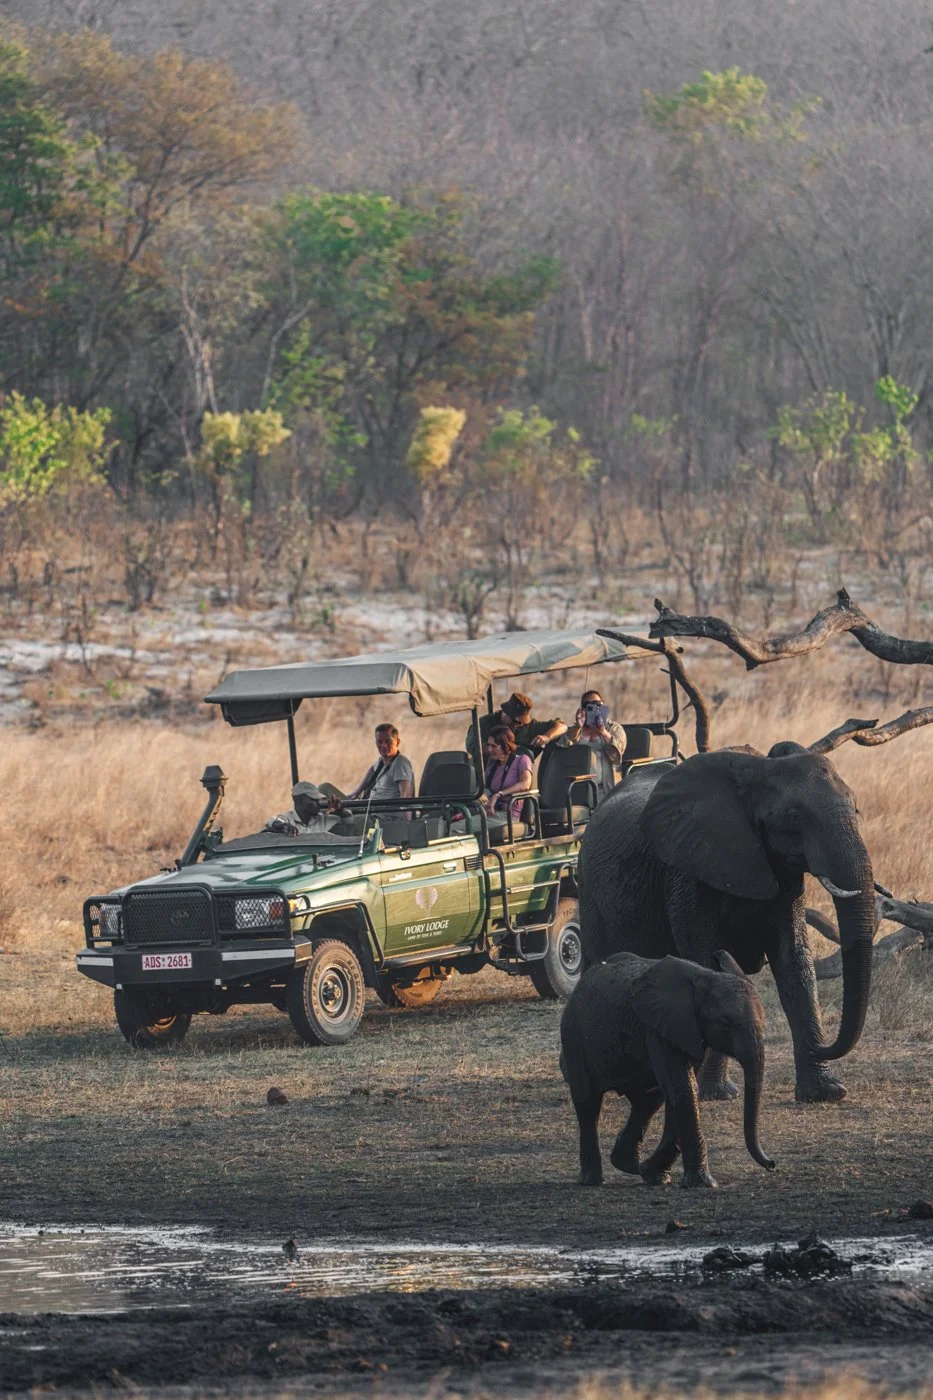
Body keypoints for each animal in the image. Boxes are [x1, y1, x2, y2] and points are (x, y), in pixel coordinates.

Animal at [560, 948, 775, 1188]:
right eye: (726, 1022)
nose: (771, 1164)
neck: (706, 978)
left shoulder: (687, 1031)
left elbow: (680, 1089)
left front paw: (656, 1175)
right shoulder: (660, 1027)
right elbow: (683, 1088)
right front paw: (703, 1184)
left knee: (648, 1100)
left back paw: (629, 1166)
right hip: (573, 1033)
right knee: (588, 1102)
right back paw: (593, 1180)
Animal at [577, 744, 875, 1104]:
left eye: (856, 807)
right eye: (793, 817)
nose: (824, 1045)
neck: (758, 770)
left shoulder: (784, 873)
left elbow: (794, 961)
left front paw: (826, 1092)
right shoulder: (688, 871)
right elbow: (708, 961)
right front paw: (717, 1094)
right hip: (587, 890)